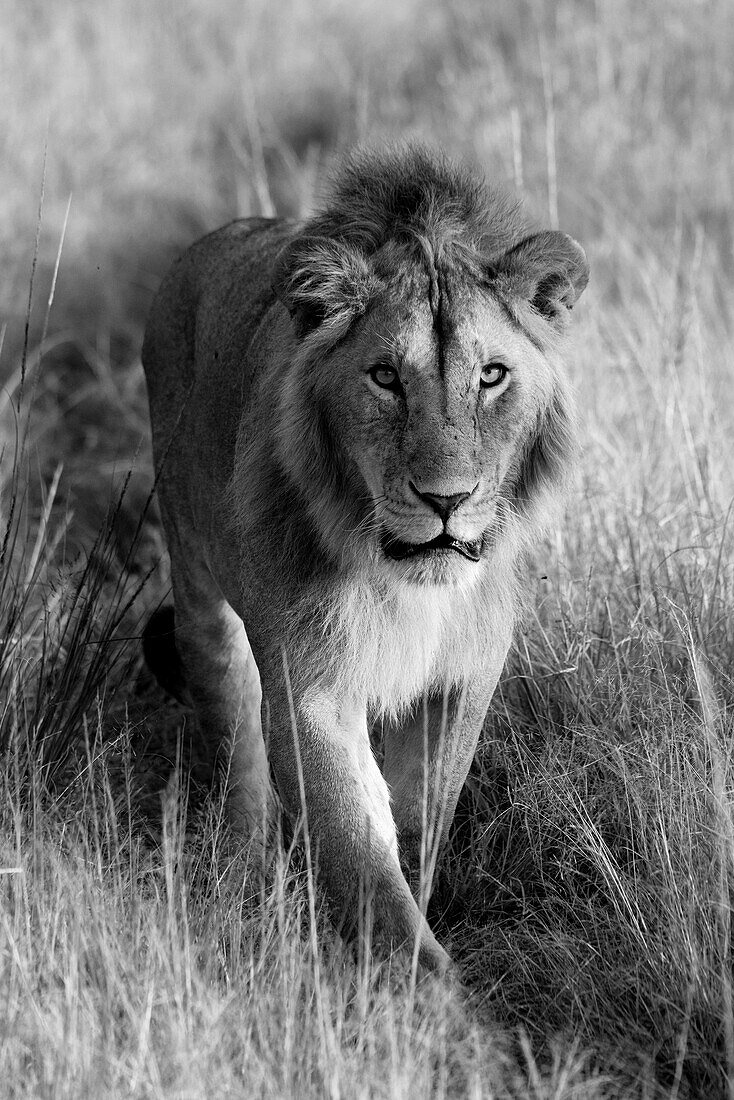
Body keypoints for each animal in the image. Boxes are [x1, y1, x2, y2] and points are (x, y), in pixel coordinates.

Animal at [141, 144, 589, 972]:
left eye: (491, 375)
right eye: (384, 376)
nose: (447, 499)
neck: (409, 587)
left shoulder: (463, 679)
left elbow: (417, 823)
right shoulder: (312, 683)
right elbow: (361, 853)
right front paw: (428, 994)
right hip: (200, 592)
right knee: (237, 753)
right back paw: (242, 882)